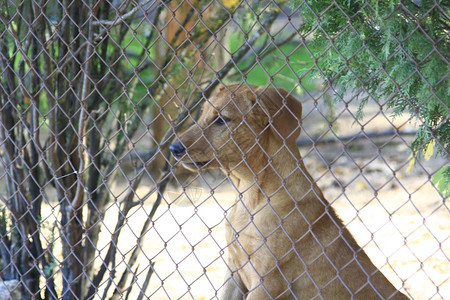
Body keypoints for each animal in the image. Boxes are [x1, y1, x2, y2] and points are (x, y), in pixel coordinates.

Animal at [169, 84, 408, 300]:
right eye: (202, 114)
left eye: (221, 119)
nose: (173, 148)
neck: (251, 197)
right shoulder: (234, 271)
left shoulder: (268, 283)